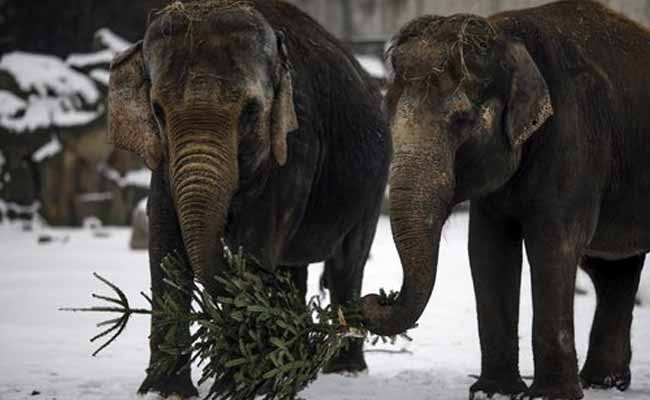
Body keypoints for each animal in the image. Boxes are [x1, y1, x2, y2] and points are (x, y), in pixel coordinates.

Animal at [107, 0, 391, 397]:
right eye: (158, 111)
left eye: (251, 111)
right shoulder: (163, 160)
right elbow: (165, 240)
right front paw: (165, 390)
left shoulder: (297, 141)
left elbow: (255, 243)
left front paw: (238, 383)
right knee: (291, 268)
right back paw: (296, 355)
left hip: (373, 187)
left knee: (346, 263)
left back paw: (342, 370)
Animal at [360, 1, 649, 399]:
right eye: (387, 114)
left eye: (461, 120)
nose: (377, 297)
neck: (509, 36)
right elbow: (488, 250)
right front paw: (493, 391)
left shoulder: (575, 140)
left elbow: (553, 247)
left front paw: (548, 395)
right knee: (613, 271)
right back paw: (604, 383)